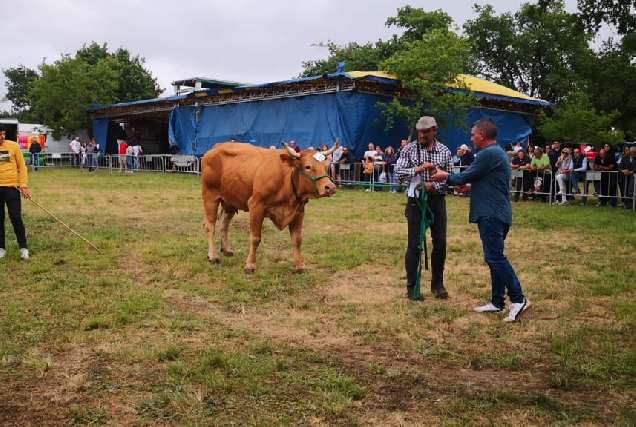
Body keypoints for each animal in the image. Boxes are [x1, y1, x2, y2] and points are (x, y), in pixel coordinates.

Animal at [201, 140, 340, 274]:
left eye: (325, 167)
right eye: (308, 167)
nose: (330, 187)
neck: (286, 179)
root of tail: (215, 148)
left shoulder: (299, 211)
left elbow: (297, 240)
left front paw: (300, 266)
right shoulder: (256, 206)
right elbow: (255, 238)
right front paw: (250, 265)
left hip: (230, 200)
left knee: (224, 223)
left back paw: (226, 249)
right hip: (210, 196)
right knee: (210, 225)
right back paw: (213, 256)